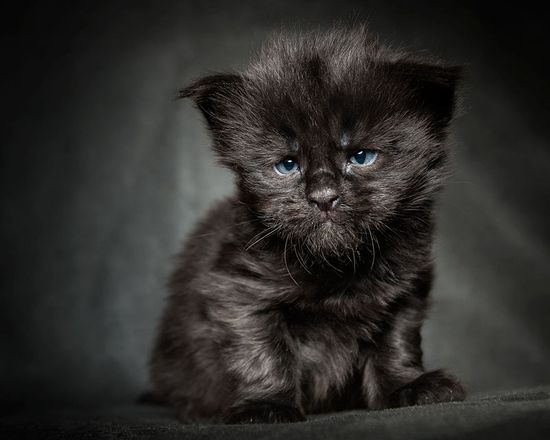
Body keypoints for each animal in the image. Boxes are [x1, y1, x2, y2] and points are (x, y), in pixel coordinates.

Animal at [150, 26, 466, 422]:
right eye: (287, 165)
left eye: (361, 157)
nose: (323, 196)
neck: (338, 266)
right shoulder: (239, 292)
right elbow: (264, 351)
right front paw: (267, 404)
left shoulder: (405, 292)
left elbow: (396, 342)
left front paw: (406, 386)